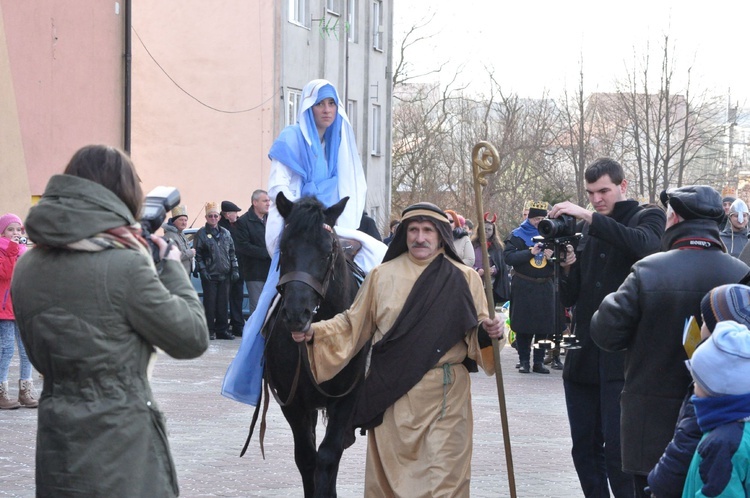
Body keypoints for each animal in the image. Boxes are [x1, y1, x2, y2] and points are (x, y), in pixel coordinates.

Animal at [266, 192, 368, 498]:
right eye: (284, 249)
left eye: (326, 252)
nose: (295, 315)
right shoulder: (293, 402)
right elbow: (307, 458)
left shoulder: (346, 399)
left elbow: (328, 456)